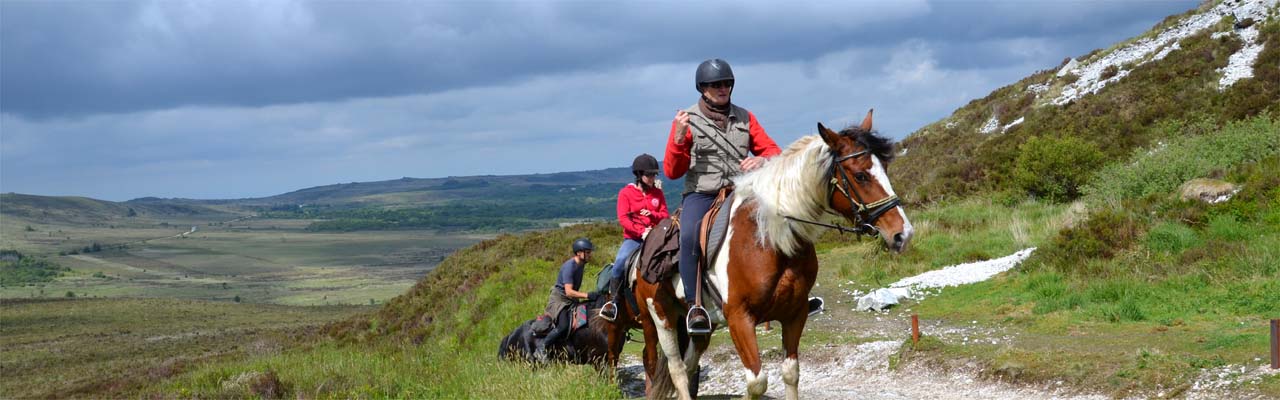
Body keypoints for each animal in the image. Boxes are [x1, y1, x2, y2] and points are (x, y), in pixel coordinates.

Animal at [629, 110, 911, 400]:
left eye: (885, 168)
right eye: (860, 175)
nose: (902, 234)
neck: (770, 239)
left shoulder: (794, 314)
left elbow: (791, 373)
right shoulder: (740, 319)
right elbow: (756, 383)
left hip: (700, 329)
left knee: (687, 365)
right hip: (659, 319)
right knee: (673, 368)